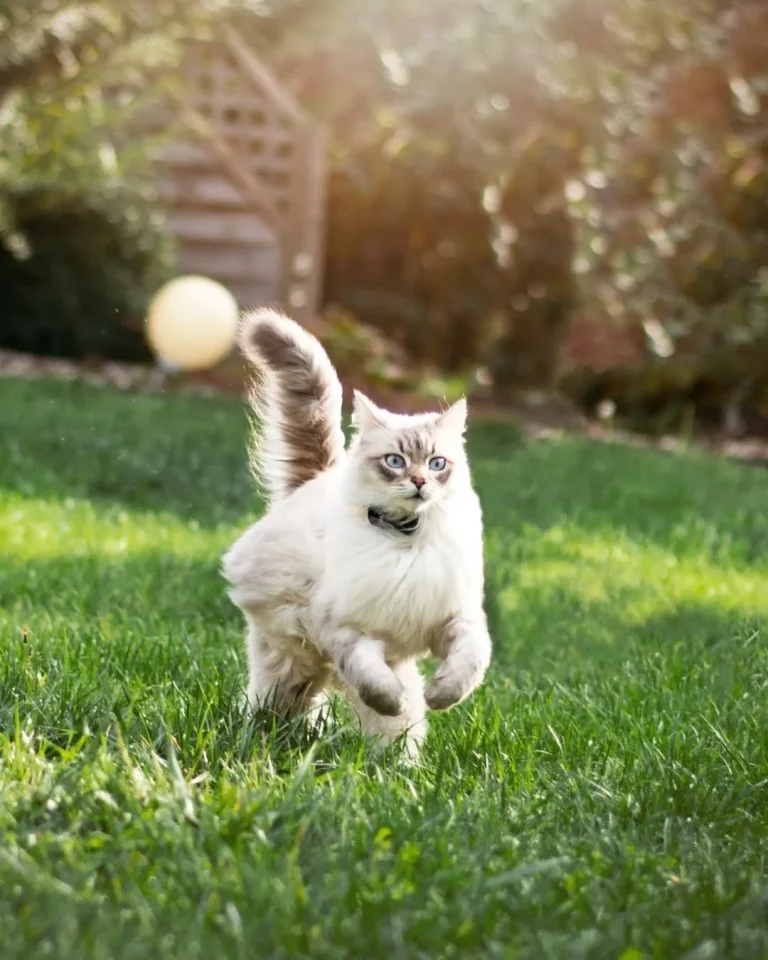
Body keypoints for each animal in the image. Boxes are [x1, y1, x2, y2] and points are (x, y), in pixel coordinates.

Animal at [220, 310, 492, 756]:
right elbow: (375, 681)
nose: (419, 482)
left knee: (392, 729)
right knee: (272, 708)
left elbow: (466, 667)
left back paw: (399, 766)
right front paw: (391, 696)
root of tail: (317, 479)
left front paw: (439, 697)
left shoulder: (458, 619)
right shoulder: (348, 631)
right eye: (395, 461)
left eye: (437, 463)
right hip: (290, 665)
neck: (406, 541)